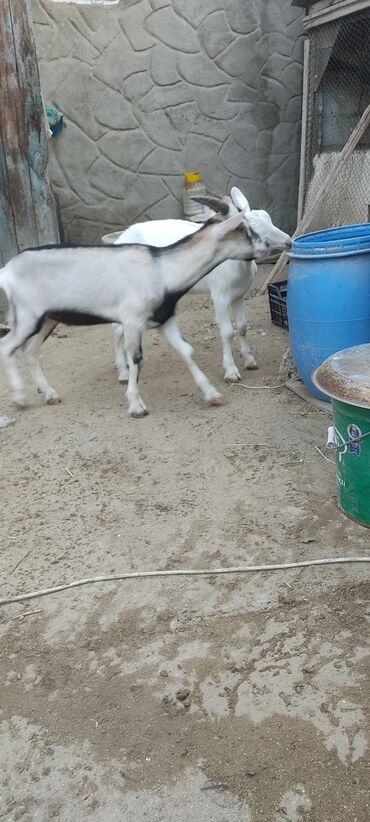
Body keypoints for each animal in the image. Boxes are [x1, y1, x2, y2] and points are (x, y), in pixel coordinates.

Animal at [112, 192, 274, 384]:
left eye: (268, 218)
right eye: (250, 227)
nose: (287, 241)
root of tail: (120, 240)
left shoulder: (239, 295)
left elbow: (242, 326)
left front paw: (250, 361)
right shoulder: (219, 295)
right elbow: (227, 331)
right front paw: (231, 372)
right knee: (117, 329)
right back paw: (123, 373)